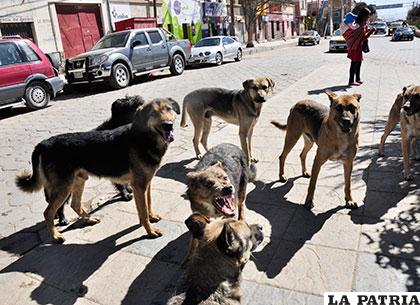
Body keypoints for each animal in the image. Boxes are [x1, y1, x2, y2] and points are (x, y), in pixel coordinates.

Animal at [15, 97, 180, 242]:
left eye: (169, 109)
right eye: (153, 113)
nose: (168, 125)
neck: (145, 137)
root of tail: (43, 144)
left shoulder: (146, 184)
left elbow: (148, 204)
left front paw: (151, 218)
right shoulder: (139, 186)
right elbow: (143, 212)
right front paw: (150, 231)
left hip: (78, 181)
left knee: (75, 204)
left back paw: (88, 219)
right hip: (64, 187)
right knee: (48, 212)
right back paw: (56, 236)